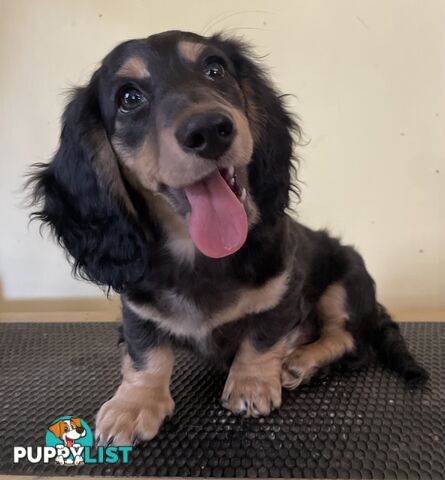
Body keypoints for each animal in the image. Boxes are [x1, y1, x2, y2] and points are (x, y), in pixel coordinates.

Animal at [28, 31, 426, 446]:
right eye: (129, 98)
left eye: (215, 69)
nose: (208, 130)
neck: (199, 255)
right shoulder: (136, 308)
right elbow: (145, 352)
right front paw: (133, 404)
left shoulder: (283, 289)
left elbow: (262, 337)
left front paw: (251, 384)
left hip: (346, 281)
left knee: (350, 342)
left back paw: (300, 362)